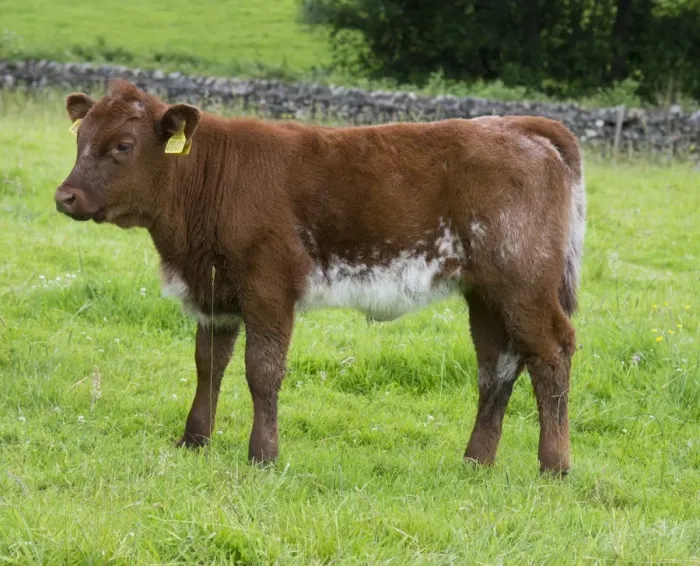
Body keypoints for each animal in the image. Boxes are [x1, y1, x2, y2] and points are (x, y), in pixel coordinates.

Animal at [54, 79, 586, 476]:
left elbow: (262, 369)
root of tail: (519, 125)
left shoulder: (269, 286)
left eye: (123, 145)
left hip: (524, 284)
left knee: (551, 351)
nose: (65, 196)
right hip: (487, 293)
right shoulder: (216, 292)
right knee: (497, 364)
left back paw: (555, 465)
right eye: (79, 140)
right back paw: (477, 461)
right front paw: (194, 439)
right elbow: (209, 363)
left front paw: (263, 455)